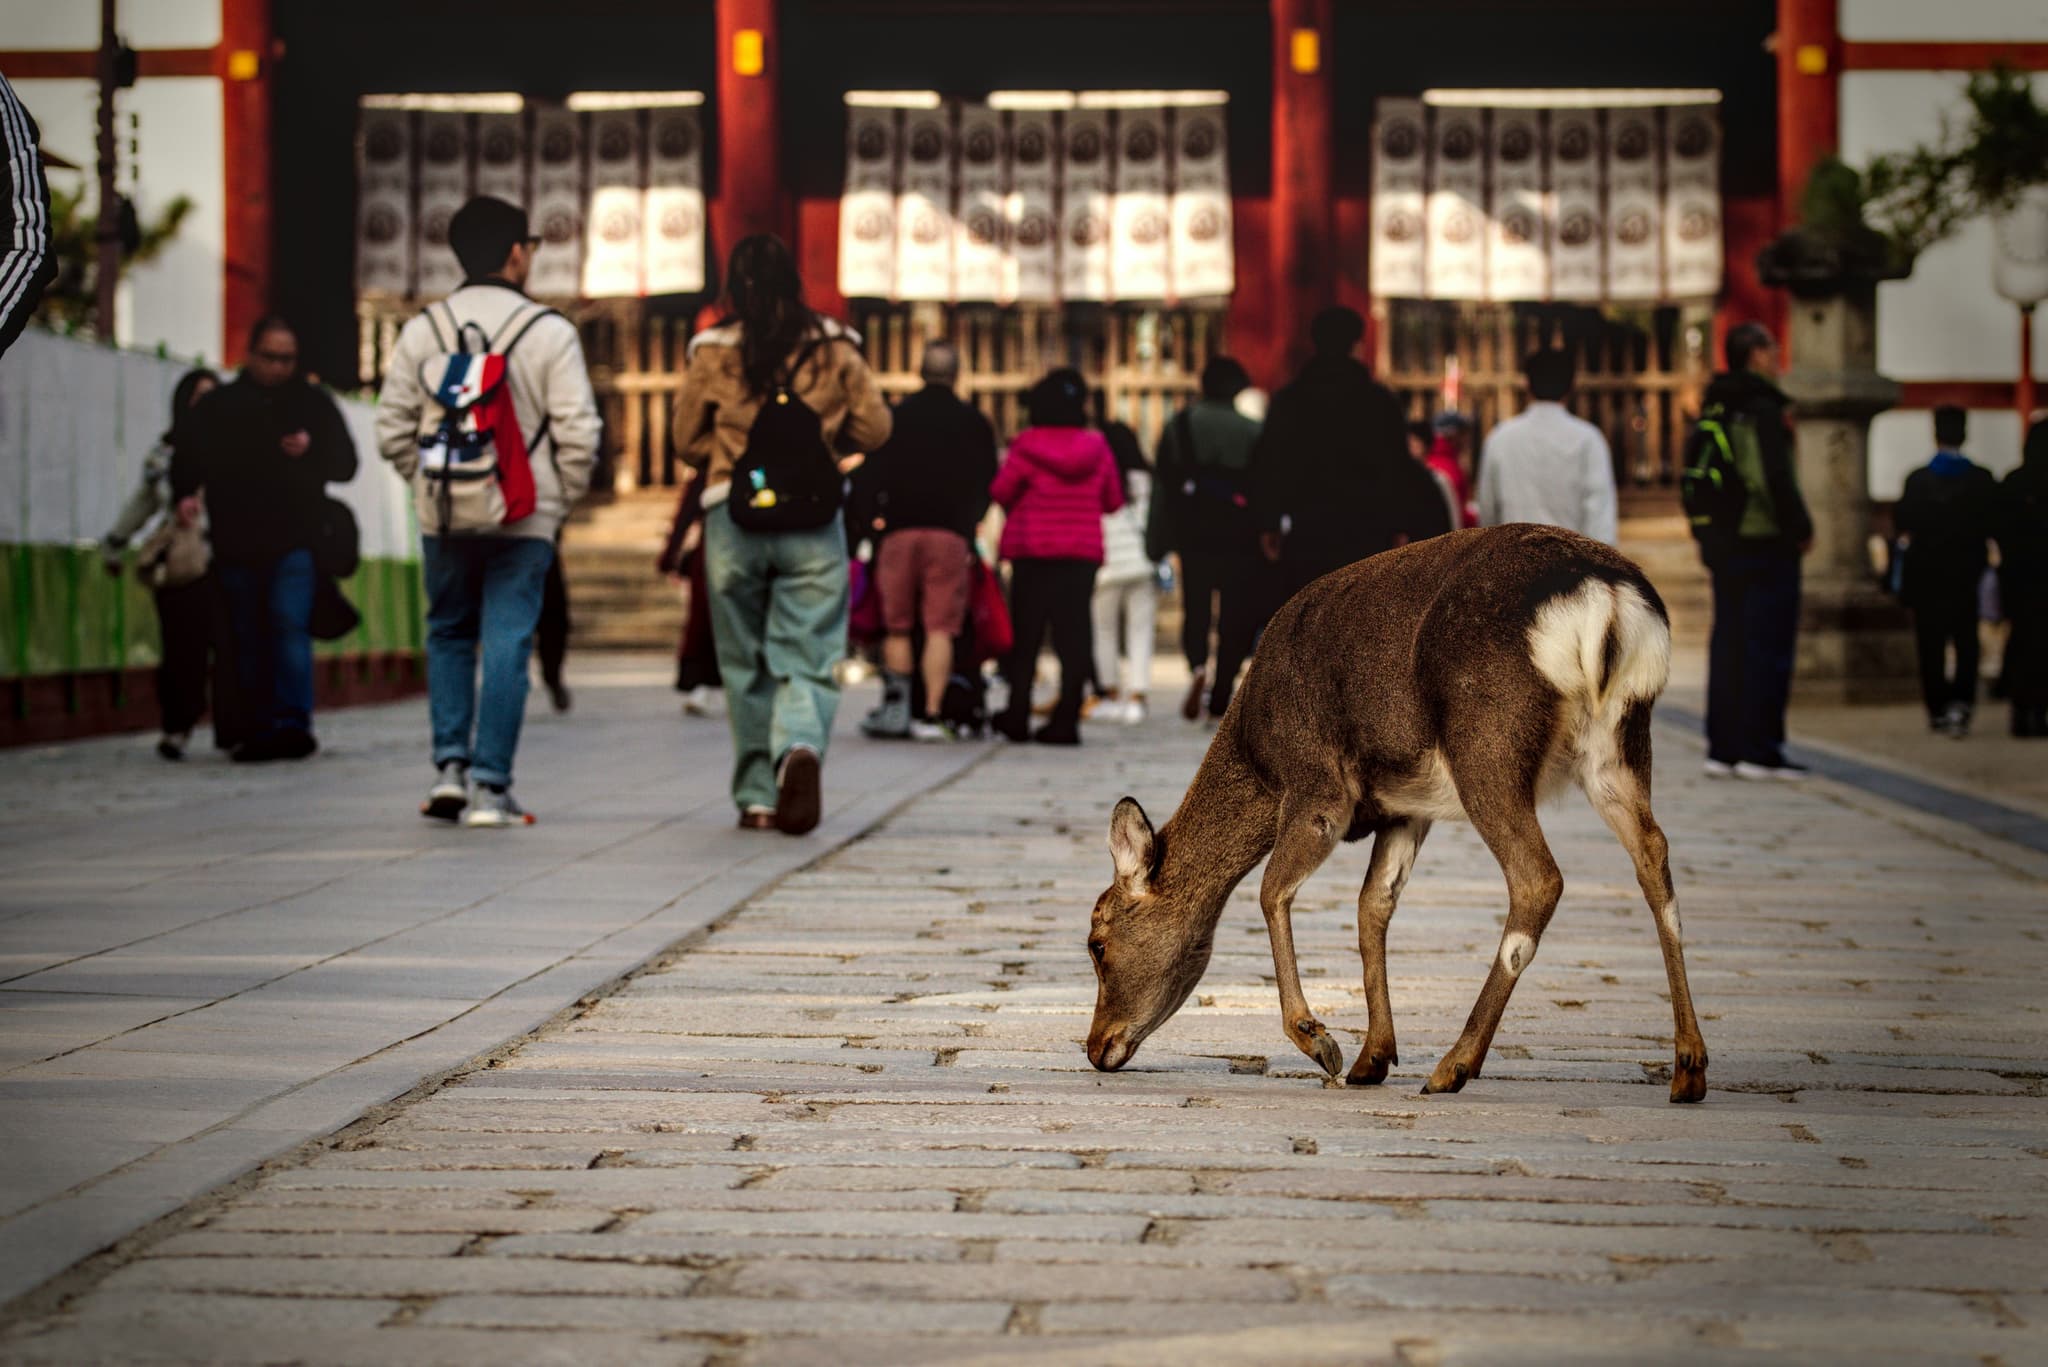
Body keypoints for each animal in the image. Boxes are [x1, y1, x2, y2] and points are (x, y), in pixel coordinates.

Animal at [1083, 524, 1708, 1103]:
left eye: (1097, 941)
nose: (1093, 1047)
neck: (1259, 759)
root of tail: (1610, 600)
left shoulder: (1319, 787)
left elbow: (1271, 890)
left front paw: (1320, 1041)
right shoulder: (1407, 807)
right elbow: (1372, 907)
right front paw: (1373, 1057)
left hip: (1488, 743)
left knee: (1538, 877)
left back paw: (1454, 1065)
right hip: (1620, 742)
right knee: (1654, 854)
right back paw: (1689, 1067)